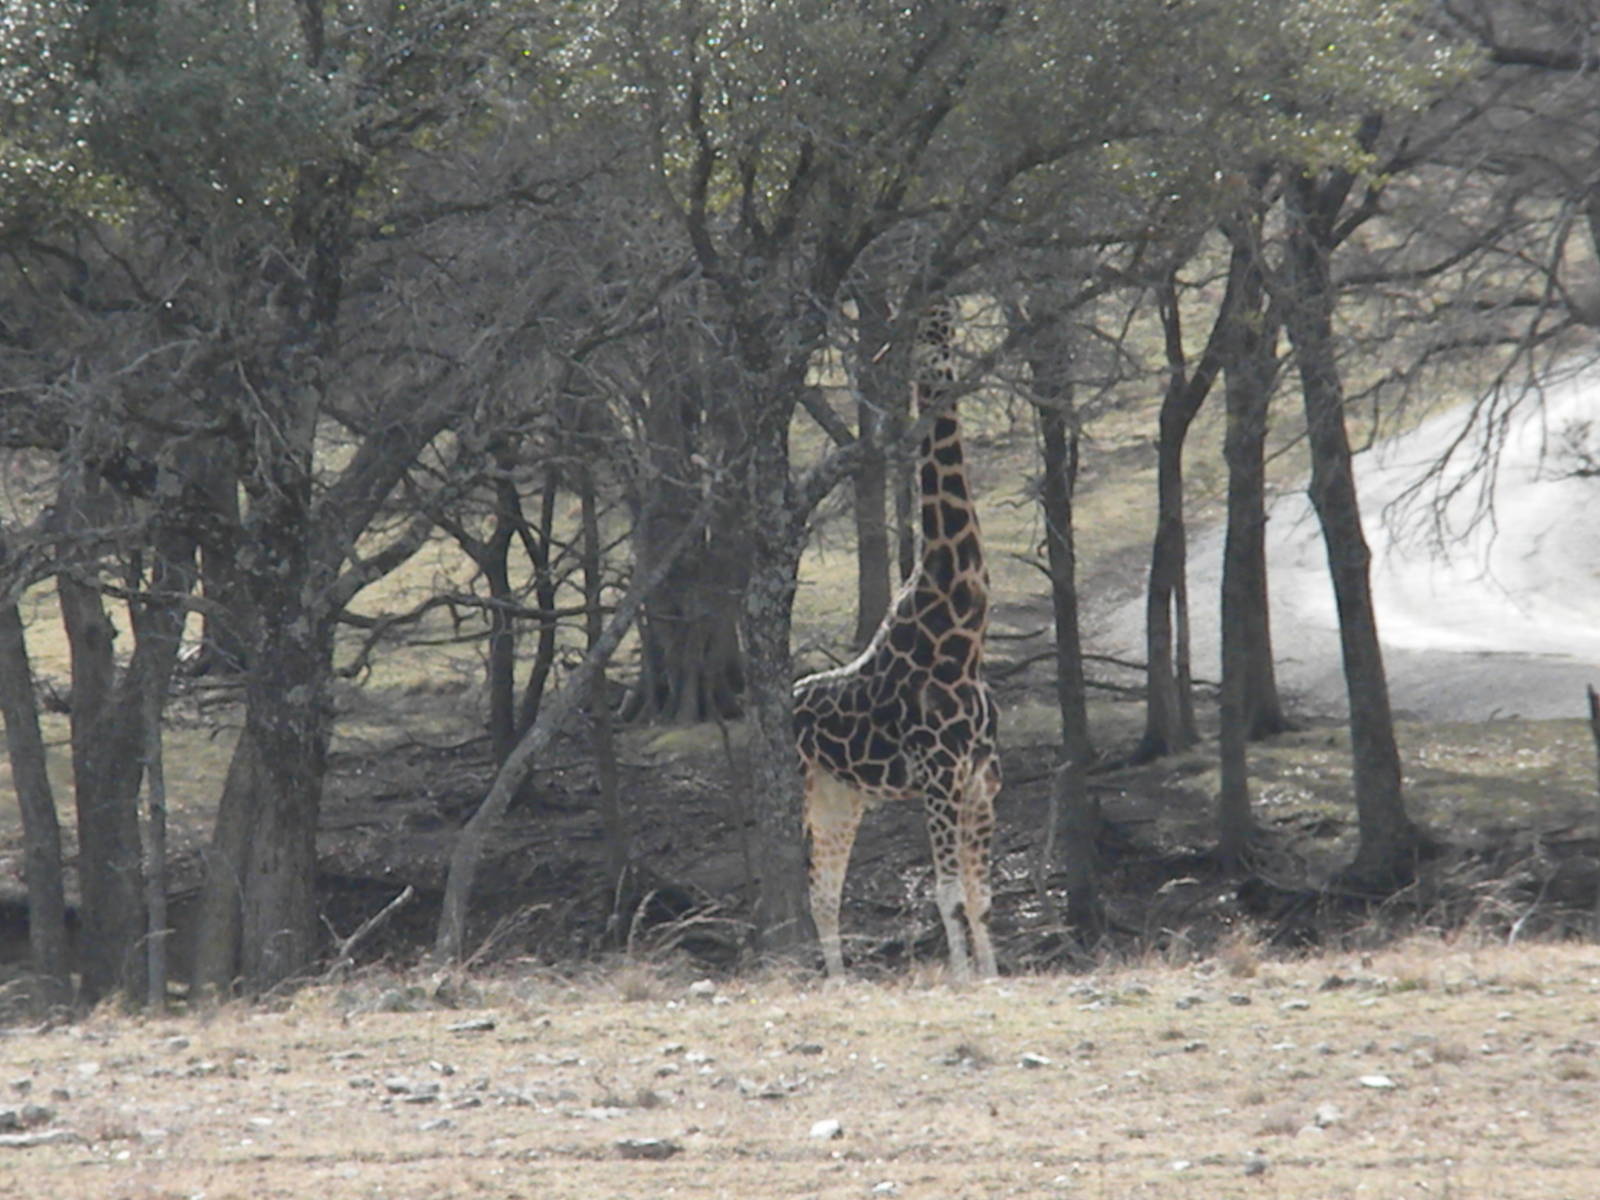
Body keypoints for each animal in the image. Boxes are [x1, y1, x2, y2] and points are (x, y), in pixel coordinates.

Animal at [794, 301, 1001, 980]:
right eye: (934, 322)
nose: (941, 353)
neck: (961, 632)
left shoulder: (980, 774)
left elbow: (978, 892)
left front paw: (993, 976)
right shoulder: (937, 772)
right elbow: (946, 890)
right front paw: (962, 978)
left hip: (845, 794)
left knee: (825, 889)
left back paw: (840, 982)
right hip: (811, 789)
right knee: (818, 889)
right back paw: (837, 983)